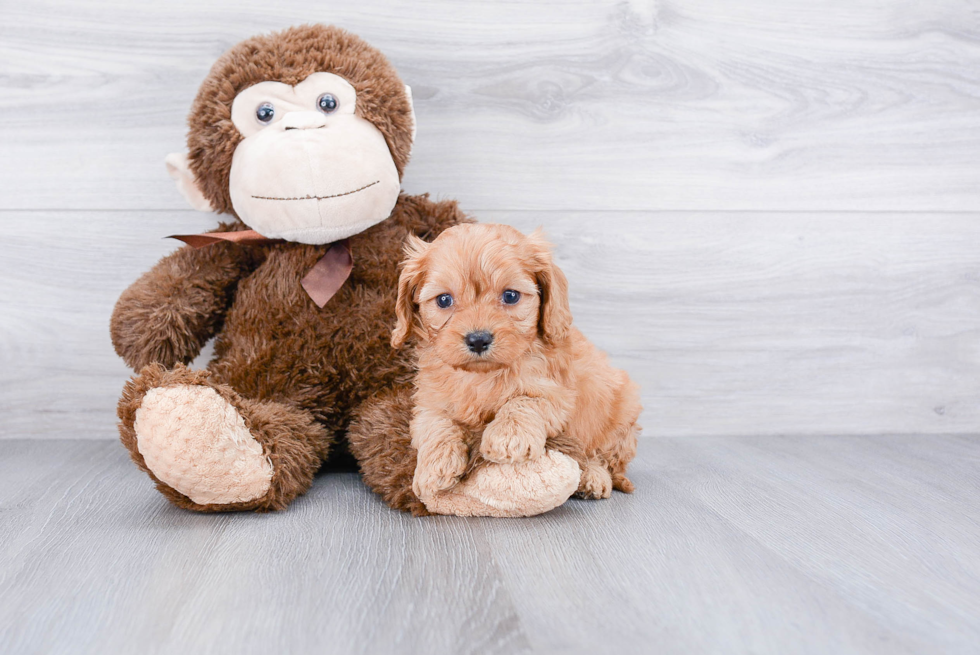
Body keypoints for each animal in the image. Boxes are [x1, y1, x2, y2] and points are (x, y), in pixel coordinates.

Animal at [392, 223, 644, 504]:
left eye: (511, 296)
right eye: (444, 300)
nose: (478, 340)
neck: (482, 375)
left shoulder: (557, 395)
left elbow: (523, 401)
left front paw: (507, 437)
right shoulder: (430, 401)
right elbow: (435, 425)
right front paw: (433, 468)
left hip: (621, 413)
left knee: (605, 459)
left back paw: (594, 476)